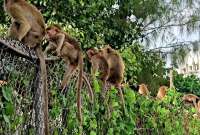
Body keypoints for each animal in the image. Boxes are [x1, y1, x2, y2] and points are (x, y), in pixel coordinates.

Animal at [3, 0, 48, 134]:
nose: (4, 7)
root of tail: (39, 42)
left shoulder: (14, 8)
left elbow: (25, 24)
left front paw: (15, 40)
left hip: (31, 37)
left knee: (18, 23)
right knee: (16, 23)